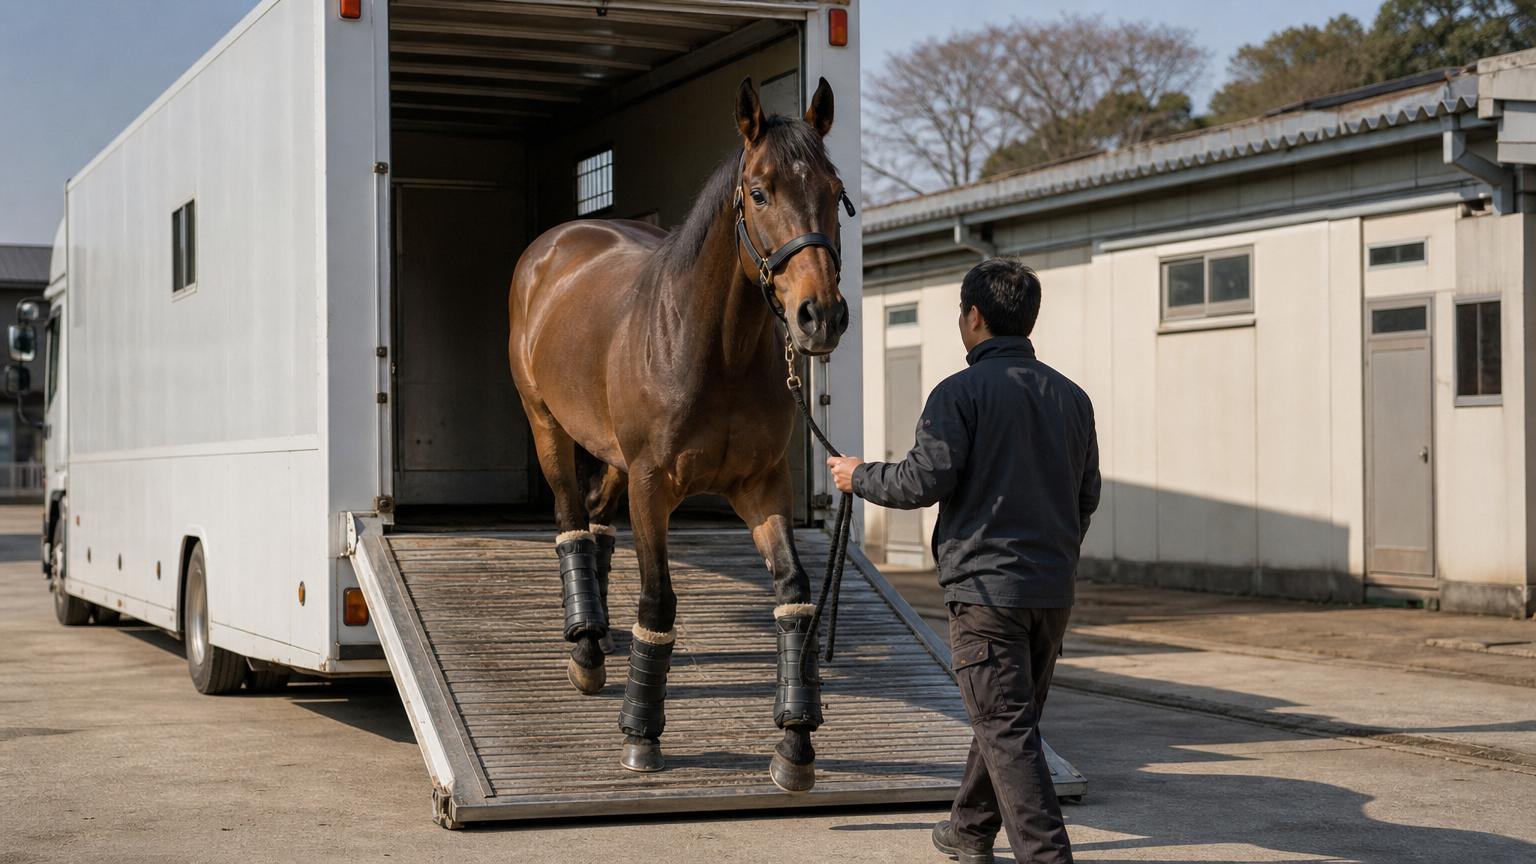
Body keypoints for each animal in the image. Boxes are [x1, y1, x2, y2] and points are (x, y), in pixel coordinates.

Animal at [507, 76, 850, 792]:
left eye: (835, 190)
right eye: (759, 191)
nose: (821, 316)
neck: (713, 349)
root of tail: (556, 242)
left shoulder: (760, 487)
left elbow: (793, 592)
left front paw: (795, 744)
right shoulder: (653, 487)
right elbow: (659, 601)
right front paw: (642, 736)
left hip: (611, 456)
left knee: (597, 520)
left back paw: (600, 634)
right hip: (547, 425)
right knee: (570, 517)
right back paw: (585, 648)